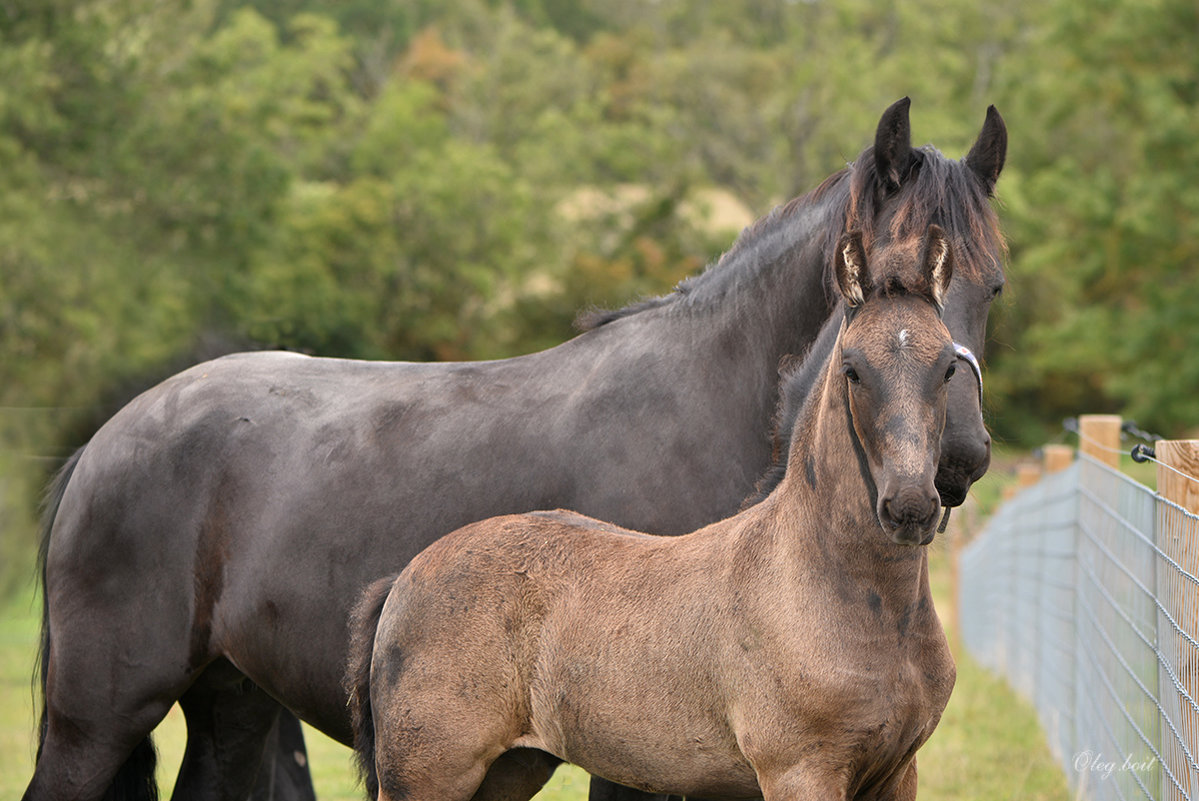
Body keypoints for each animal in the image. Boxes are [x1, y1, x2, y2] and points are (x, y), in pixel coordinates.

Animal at [23, 100, 1007, 801]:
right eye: (885, 273)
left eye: (993, 285)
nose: (956, 459)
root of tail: (103, 445)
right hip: (99, 712)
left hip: (232, 701)